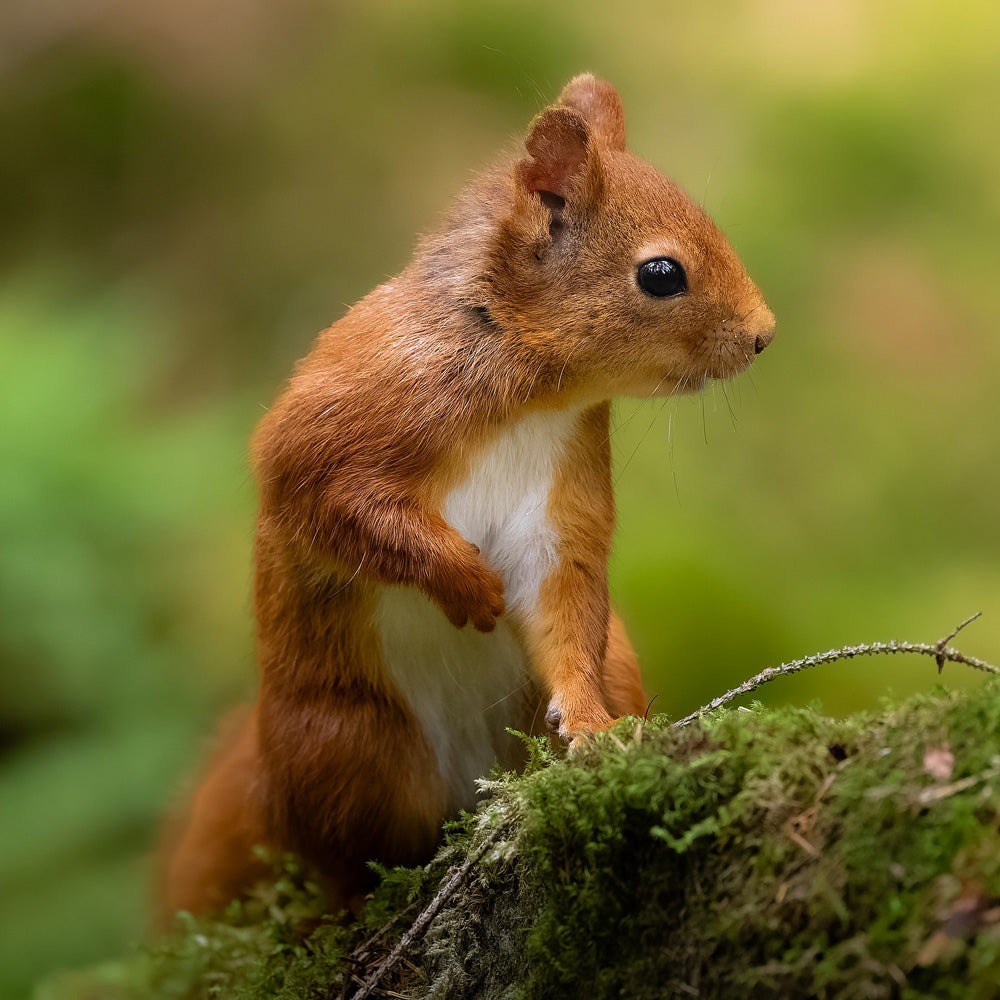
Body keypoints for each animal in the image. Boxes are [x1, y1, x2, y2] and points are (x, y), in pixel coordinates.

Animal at [160, 74, 775, 920]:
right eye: (661, 274)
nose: (763, 334)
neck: (532, 390)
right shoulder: (343, 422)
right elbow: (341, 505)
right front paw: (464, 583)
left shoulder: (558, 504)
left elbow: (563, 603)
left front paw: (592, 725)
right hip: (346, 744)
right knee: (345, 857)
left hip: (599, 670)